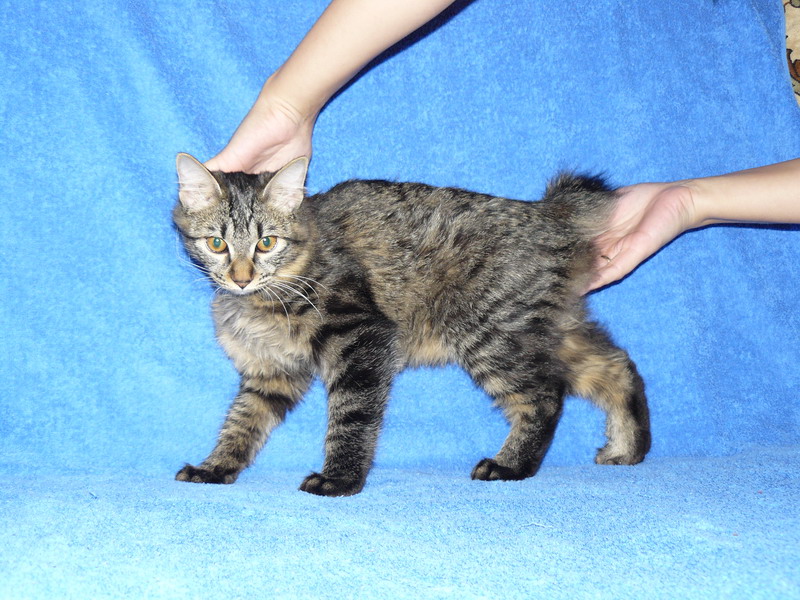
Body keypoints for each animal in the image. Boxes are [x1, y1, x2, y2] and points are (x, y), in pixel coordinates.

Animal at [173, 153, 650, 496]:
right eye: (217, 243)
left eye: (267, 243)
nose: (241, 277)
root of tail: (549, 212)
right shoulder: (270, 373)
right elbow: (242, 424)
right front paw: (216, 468)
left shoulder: (361, 340)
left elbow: (352, 418)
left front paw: (340, 480)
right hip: (545, 330)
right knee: (616, 366)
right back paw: (629, 448)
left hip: (489, 336)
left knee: (547, 395)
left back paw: (510, 466)